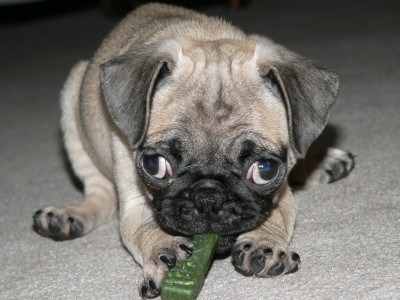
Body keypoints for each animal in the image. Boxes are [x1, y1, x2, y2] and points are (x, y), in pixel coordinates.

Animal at [32, 3, 354, 298]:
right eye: (154, 165)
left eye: (265, 170)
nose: (208, 196)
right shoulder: (134, 199)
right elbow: (140, 227)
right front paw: (165, 250)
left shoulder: (281, 187)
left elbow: (279, 214)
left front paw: (265, 243)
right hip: (72, 99)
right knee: (101, 194)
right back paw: (68, 218)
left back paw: (323, 162)